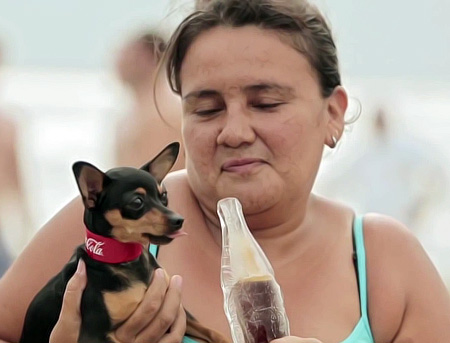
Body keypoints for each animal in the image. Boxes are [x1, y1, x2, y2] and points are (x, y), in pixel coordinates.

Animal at [19, 143, 229, 343]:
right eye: (137, 202)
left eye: (164, 197)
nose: (179, 220)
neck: (126, 260)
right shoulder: (94, 335)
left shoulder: (180, 310)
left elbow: (212, 331)